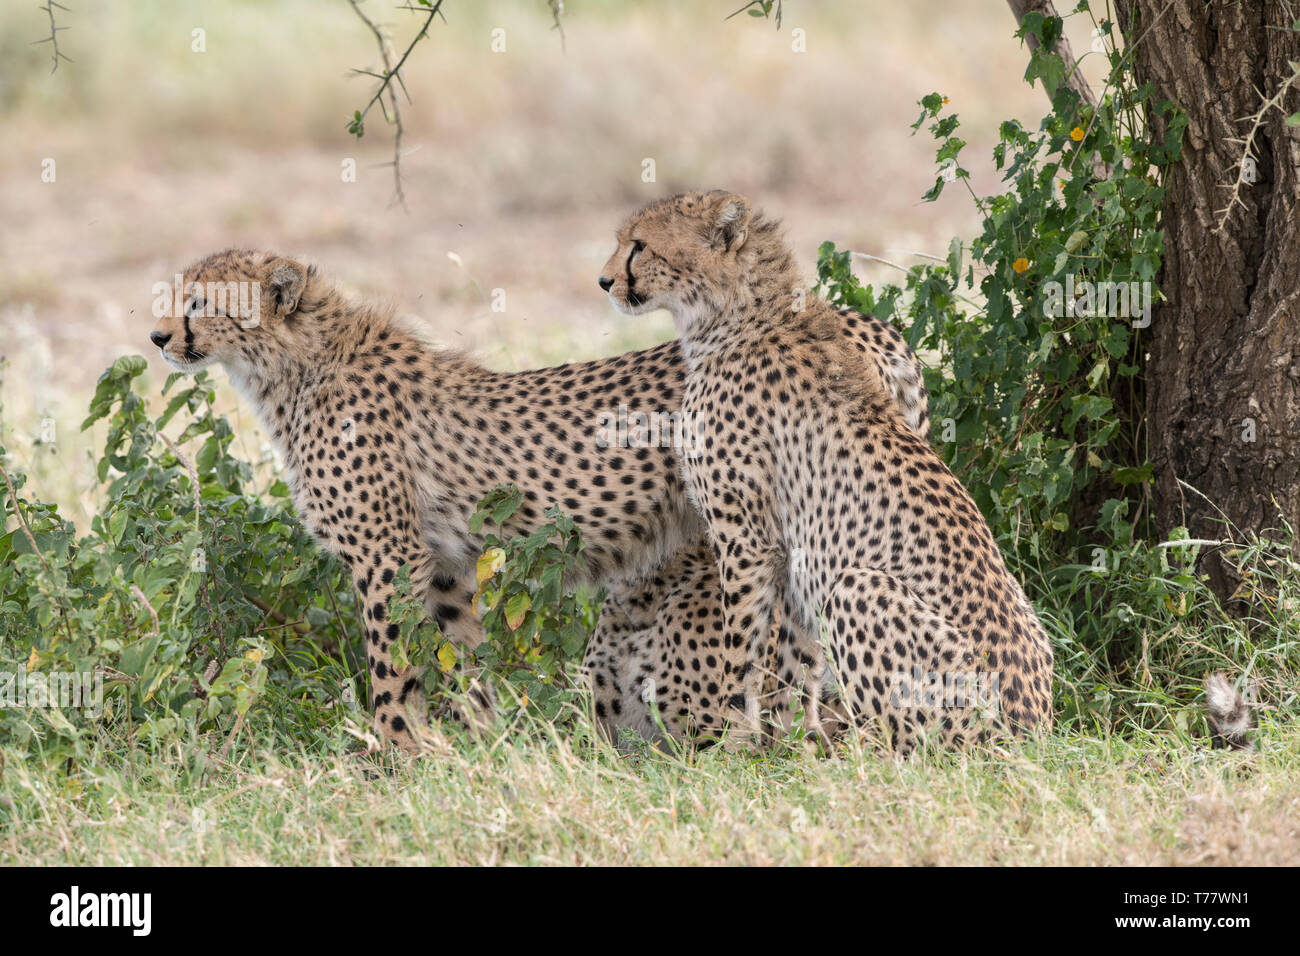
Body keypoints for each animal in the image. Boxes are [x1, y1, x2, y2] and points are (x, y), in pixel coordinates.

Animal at [147, 251, 930, 749]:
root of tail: (869, 325)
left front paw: (395, 755)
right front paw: (482, 748)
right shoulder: (447, 563)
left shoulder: (386, 556)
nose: (156, 336)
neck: (293, 365)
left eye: (200, 303)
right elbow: (460, 657)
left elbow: (391, 668)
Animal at [598, 191, 1055, 749]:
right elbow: (796, 659)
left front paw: (733, 739)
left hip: (858, 589)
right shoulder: (794, 553)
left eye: (639, 246)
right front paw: (794, 743)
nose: (604, 281)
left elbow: (740, 650)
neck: (737, 315)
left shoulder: (747, 540)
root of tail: (1032, 728)